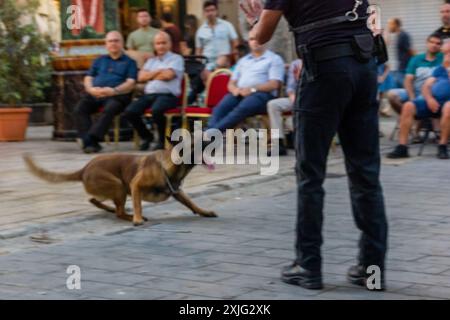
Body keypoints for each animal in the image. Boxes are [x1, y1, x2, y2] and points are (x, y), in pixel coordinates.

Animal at [23, 148, 217, 225]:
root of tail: (84, 168)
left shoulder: (177, 191)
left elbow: (191, 203)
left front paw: (204, 212)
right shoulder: (135, 185)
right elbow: (138, 204)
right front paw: (137, 218)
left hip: (114, 189)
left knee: (94, 200)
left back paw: (108, 208)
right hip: (119, 186)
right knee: (119, 212)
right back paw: (128, 216)